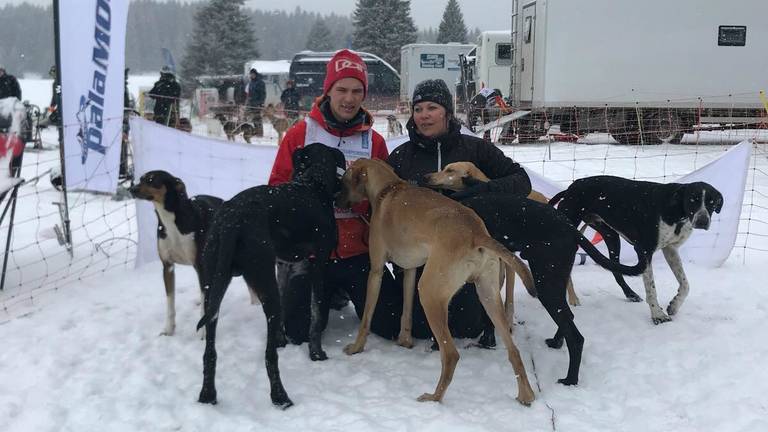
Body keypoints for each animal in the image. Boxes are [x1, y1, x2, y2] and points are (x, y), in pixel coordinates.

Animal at [195, 143, 344, 410]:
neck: (312, 182)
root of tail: (232, 220)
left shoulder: (283, 265)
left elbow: (285, 307)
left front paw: (281, 338)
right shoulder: (319, 264)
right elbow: (316, 313)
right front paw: (316, 353)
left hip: (214, 285)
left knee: (209, 351)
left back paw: (208, 394)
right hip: (262, 281)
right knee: (268, 356)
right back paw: (280, 397)